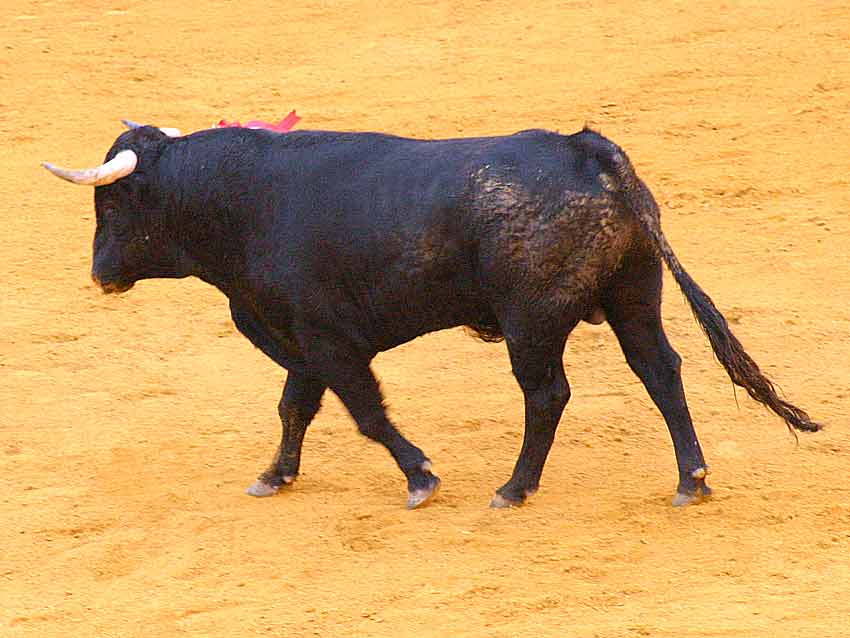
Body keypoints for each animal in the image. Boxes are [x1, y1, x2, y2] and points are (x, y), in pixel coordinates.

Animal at [43, 125, 820, 510]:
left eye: (110, 201)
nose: (99, 274)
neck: (240, 199)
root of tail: (588, 148)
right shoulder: (302, 341)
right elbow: (294, 408)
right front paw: (275, 475)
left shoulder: (326, 340)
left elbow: (366, 413)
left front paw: (420, 477)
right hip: (634, 297)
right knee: (661, 372)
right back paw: (691, 480)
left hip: (532, 322)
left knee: (548, 394)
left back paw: (514, 488)